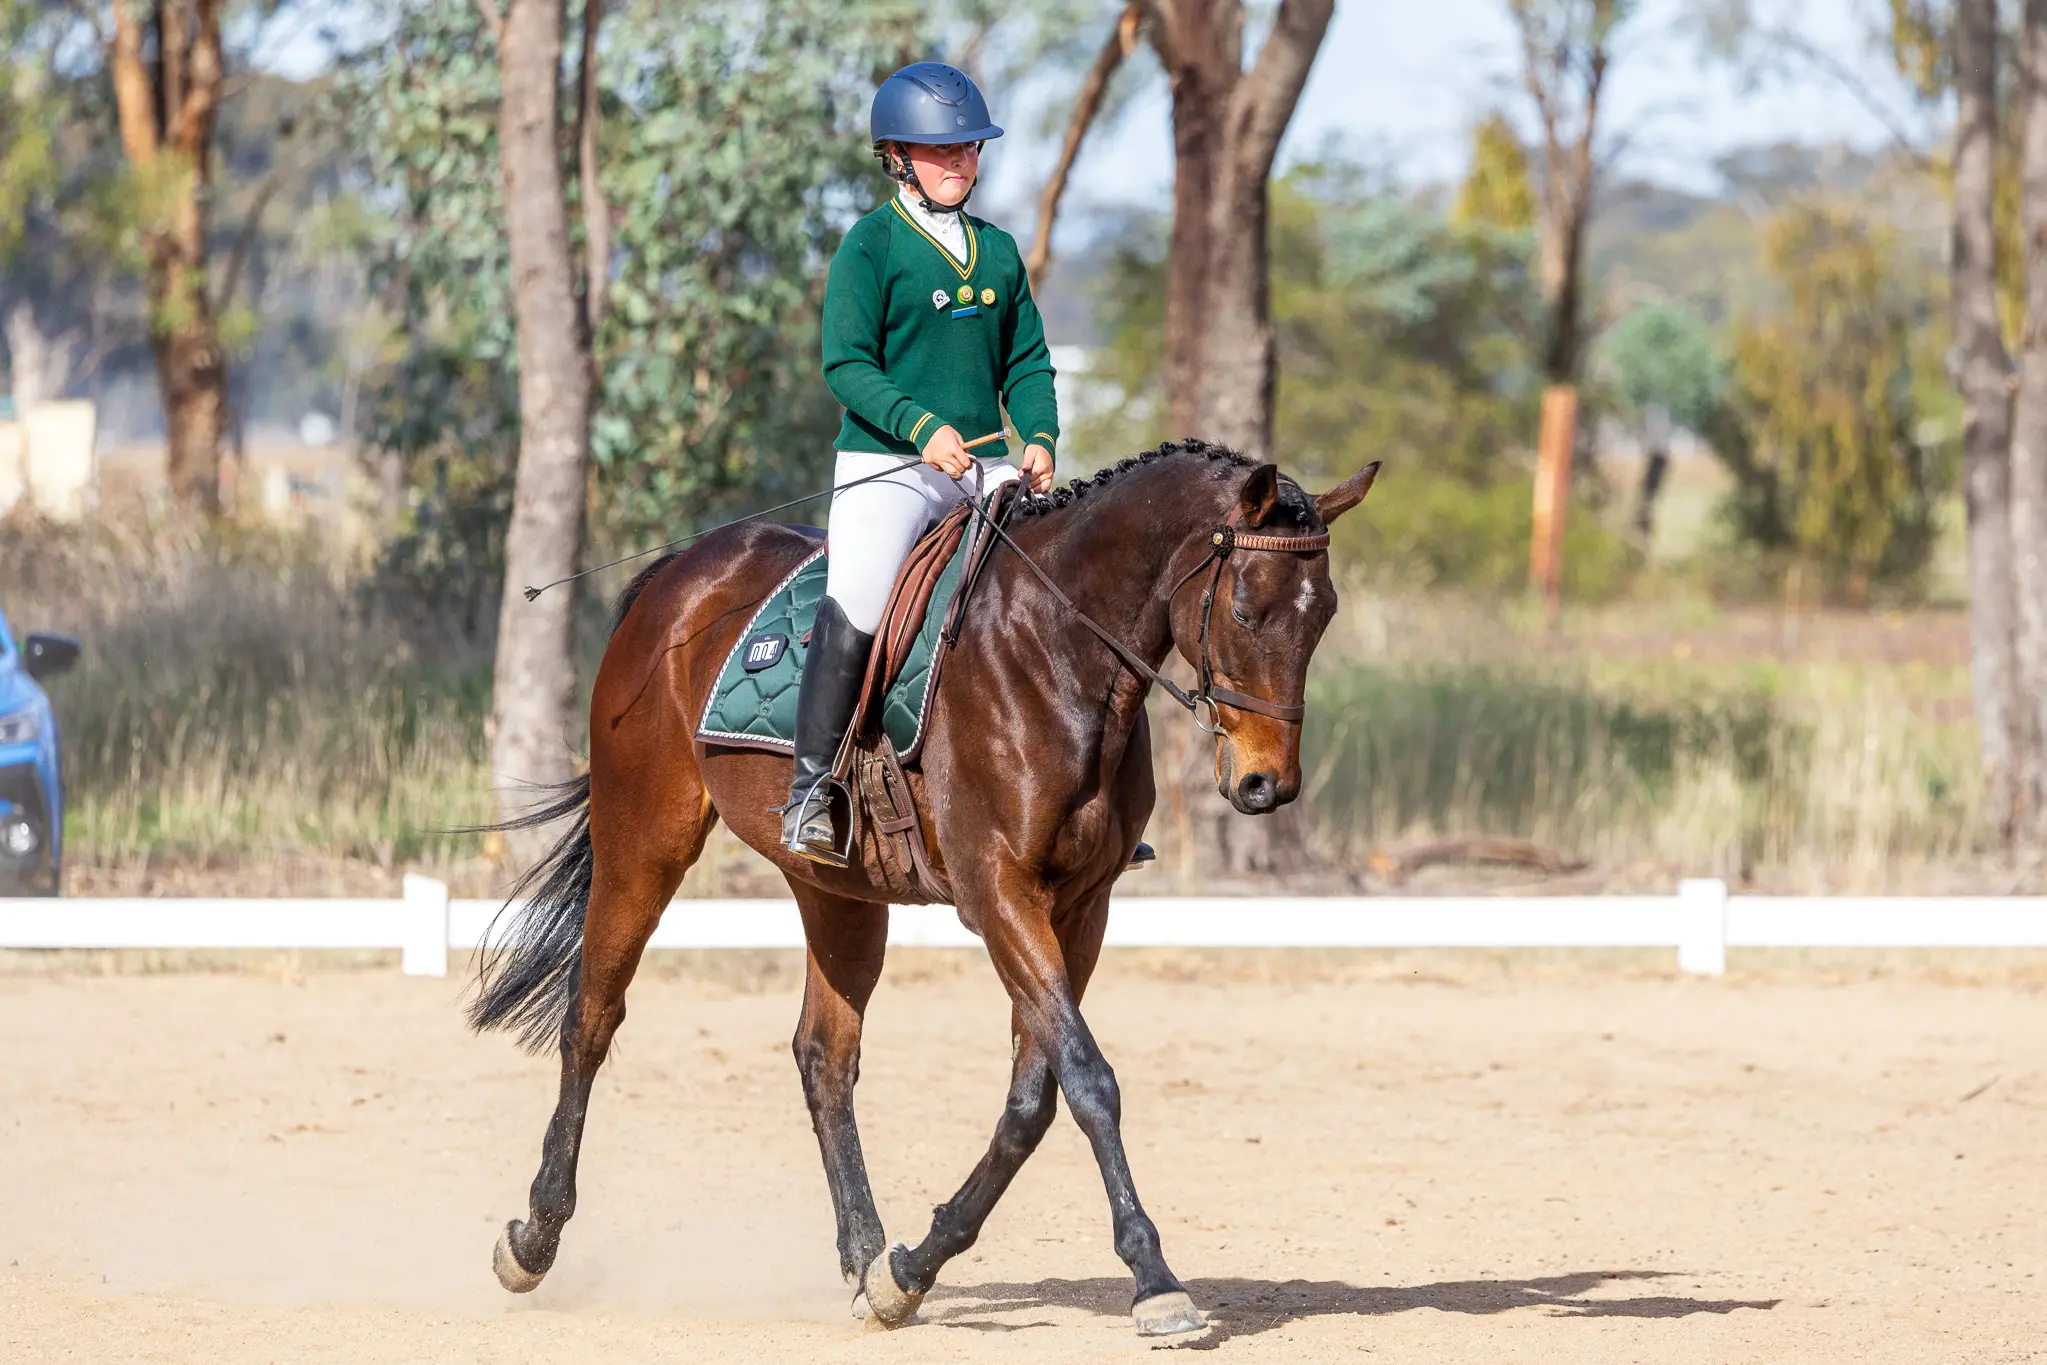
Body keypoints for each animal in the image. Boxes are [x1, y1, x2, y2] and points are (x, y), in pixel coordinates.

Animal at [470, 438, 1380, 1338]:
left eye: (1323, 615)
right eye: (1246, 610)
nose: (1266, 785)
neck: (1057, 652)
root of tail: (682, 571)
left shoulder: (1079, 907)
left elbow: (1032, 1097)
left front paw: (908, 1268)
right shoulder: (999, 893)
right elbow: (1088, 1080)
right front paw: (1154, 1279)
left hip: (835, 888)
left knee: (824, 1056)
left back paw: (862, 1256)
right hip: (643, 843)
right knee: (591, 1018)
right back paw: (533, 1238)